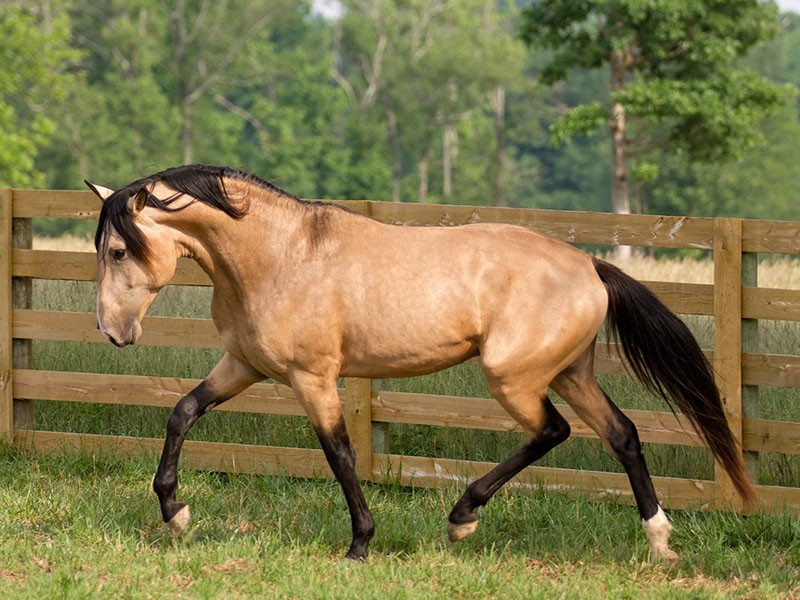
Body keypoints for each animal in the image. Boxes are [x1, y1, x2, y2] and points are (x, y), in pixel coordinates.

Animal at [87, 163, 756, 564]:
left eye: (118, 250)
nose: (112, 332)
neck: (280, 257)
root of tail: (590, 266)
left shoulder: (313, 378)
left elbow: (340, 454)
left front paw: (360, 545)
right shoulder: (242, 366)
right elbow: (182, 412)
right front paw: (175, 513)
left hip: (514, 378)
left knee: (553, 431)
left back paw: (463, 518)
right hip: (571, 373)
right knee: (622, 435)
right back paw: (659, 541)